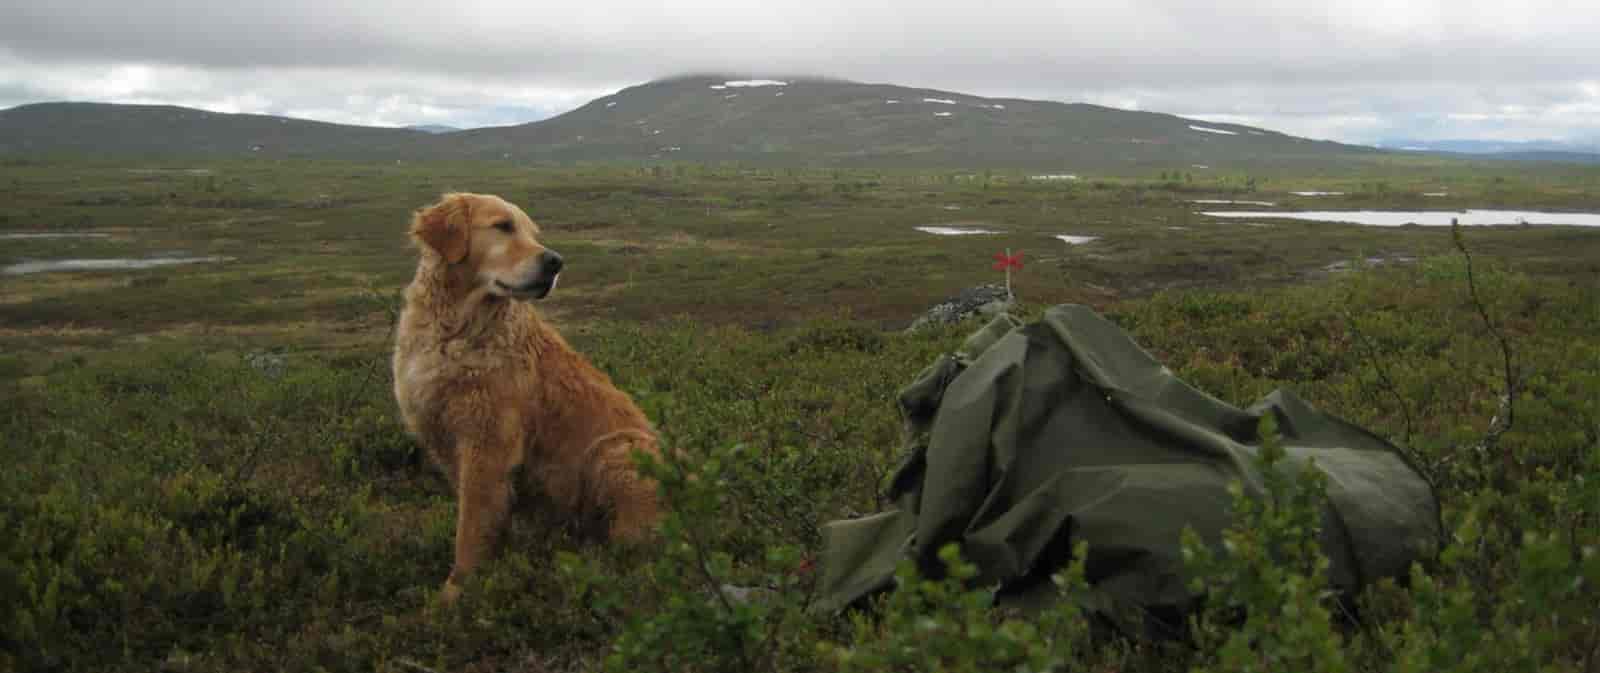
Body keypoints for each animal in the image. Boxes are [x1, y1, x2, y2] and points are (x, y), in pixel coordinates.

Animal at [391, 192, 662, 603]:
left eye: (533, 233)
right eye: (503, 226)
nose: (555, 262)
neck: (456, 329)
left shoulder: (487, 444)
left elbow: (470, 526)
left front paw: (455, 592)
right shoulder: (446, 440)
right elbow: (485, 518)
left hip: (618, 449)